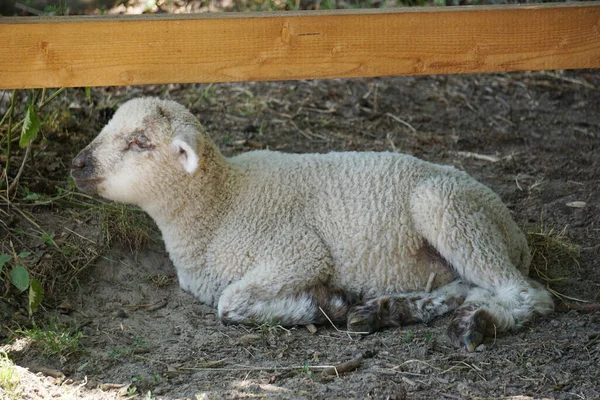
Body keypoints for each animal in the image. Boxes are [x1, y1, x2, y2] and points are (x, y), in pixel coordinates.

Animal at [70, 96, 552, 350]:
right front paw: (336, 303)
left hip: (450, 210)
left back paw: (478, 324)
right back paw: (388, 310)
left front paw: (320, 305)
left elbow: (231, 303)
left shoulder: (297, 253)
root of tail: (516, 234)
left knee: (529, 295)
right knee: (465, 286)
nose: (77, 164)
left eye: (140, 142)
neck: (221, 205)